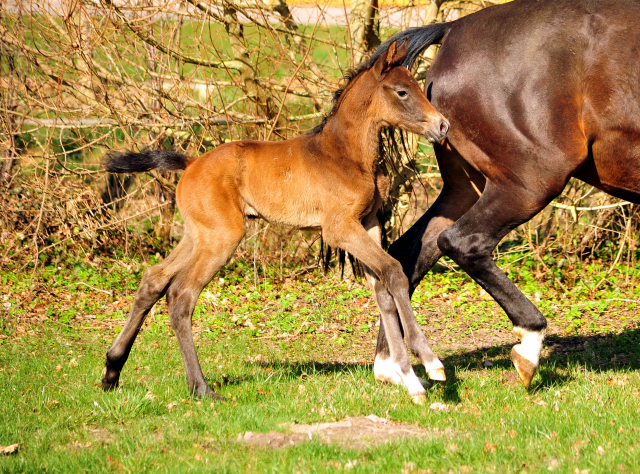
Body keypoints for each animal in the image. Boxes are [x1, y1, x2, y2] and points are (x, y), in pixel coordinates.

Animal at [101, 41, 450, 404]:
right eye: (402, 92)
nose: (442, 126)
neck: (346, 155)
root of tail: (192, 162)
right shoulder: (339, 229)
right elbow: (394, 271)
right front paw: (428, 364)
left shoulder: (367, 223)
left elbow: (382, 288)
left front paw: (406, 378)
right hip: (223, 237)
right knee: (181, 295)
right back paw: (201, 388)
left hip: (199, 234)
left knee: (154, 280)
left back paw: (112, 371)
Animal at [368, 0, 640, 388]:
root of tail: (454, 29)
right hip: (532, 179)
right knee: (461, 242)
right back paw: (529, 343)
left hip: (465, 188)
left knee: (408, 253)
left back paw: (392, 366)